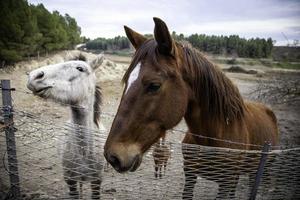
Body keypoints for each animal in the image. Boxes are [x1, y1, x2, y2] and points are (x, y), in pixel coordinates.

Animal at [103, 18, 278, 199]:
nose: (112, 156)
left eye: (154, 85)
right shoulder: (190, 174)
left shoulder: (226, 181)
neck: (212, 140)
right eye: (126, 81)